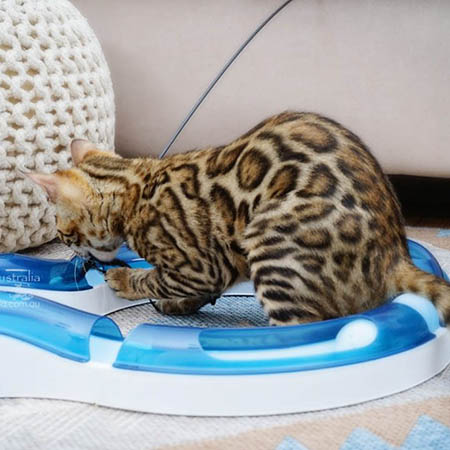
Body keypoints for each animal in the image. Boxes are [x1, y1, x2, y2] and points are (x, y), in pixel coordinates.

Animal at [26, 110, 448, 326]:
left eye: (63, 235)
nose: (74, 257)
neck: (136, 185)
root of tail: (395, 255)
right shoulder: (223, 264)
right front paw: (181, 305)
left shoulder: (198, 265)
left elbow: (158, 279)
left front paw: (125, 280)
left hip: (271, 244)